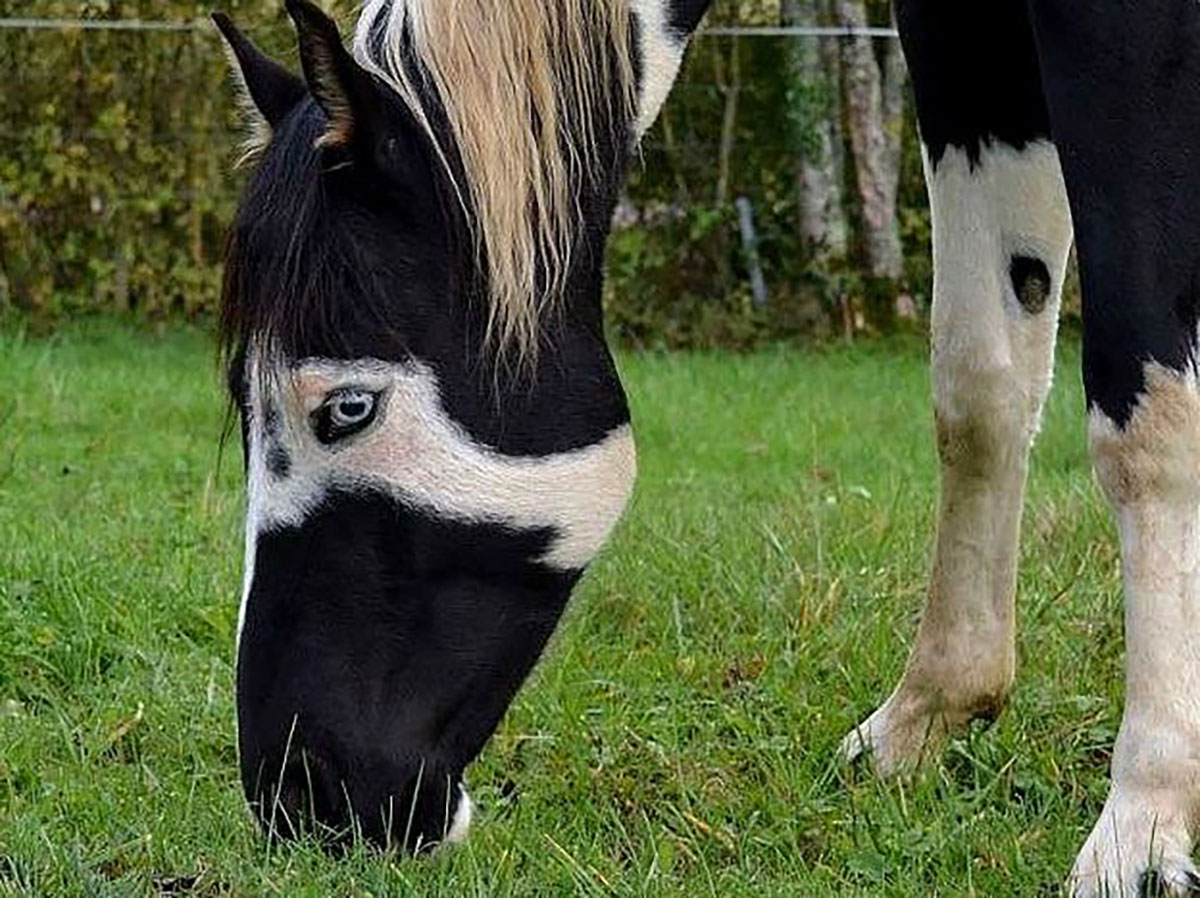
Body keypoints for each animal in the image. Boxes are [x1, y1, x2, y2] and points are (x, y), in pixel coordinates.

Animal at [216, 1, 1200, 893]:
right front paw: (927, 717)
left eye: (347, 408)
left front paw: (1146, 822)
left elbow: (1150, 422)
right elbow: (978, 388)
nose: (296, 798)